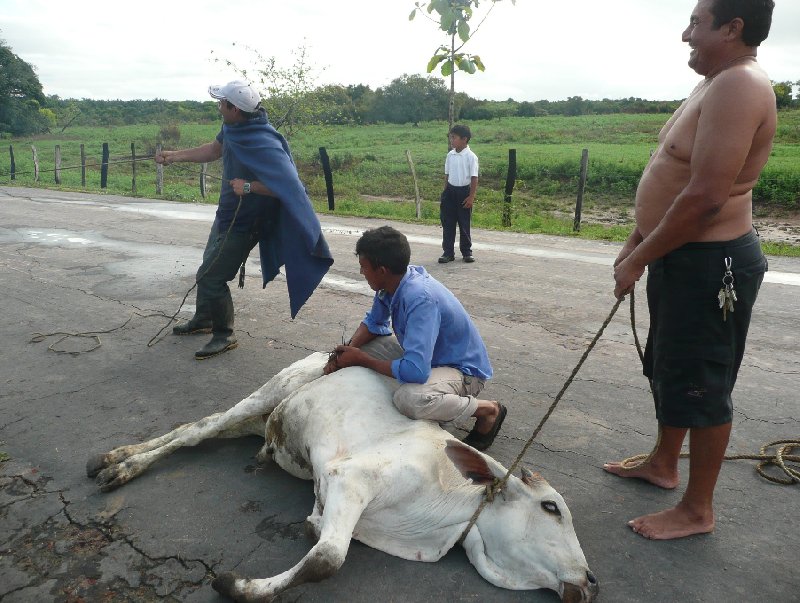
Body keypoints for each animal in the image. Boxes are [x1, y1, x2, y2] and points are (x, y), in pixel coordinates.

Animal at [89, 350, 600, 603]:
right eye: (551, 507)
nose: (592, 582)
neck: (448, 514)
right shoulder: (349, 477)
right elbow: (327, 559)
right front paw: (237, 586)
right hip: (265, 395)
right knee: (197, 431)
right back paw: (122, 465)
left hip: (261, 420)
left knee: (202, 430)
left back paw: (116, 457)